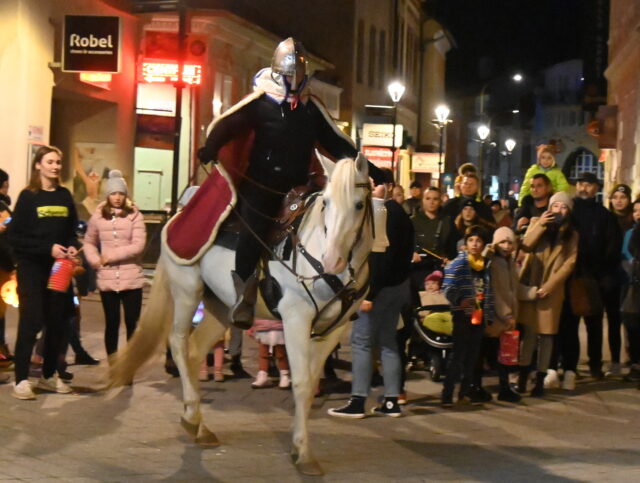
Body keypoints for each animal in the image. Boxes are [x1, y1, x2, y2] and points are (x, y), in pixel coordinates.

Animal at [107, 154, 372, 476]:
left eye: (358, 205)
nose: (332, 260)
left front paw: (300, 447)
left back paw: (197, 423)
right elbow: (301, 383)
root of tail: (177, 216)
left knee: (195, 350)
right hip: (186, 291)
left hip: (221, 307)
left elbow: (309, 385)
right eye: (326, 203)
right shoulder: (295, 320)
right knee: (179, 344)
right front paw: (304, 453)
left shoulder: (333, 331)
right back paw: (192, 417)